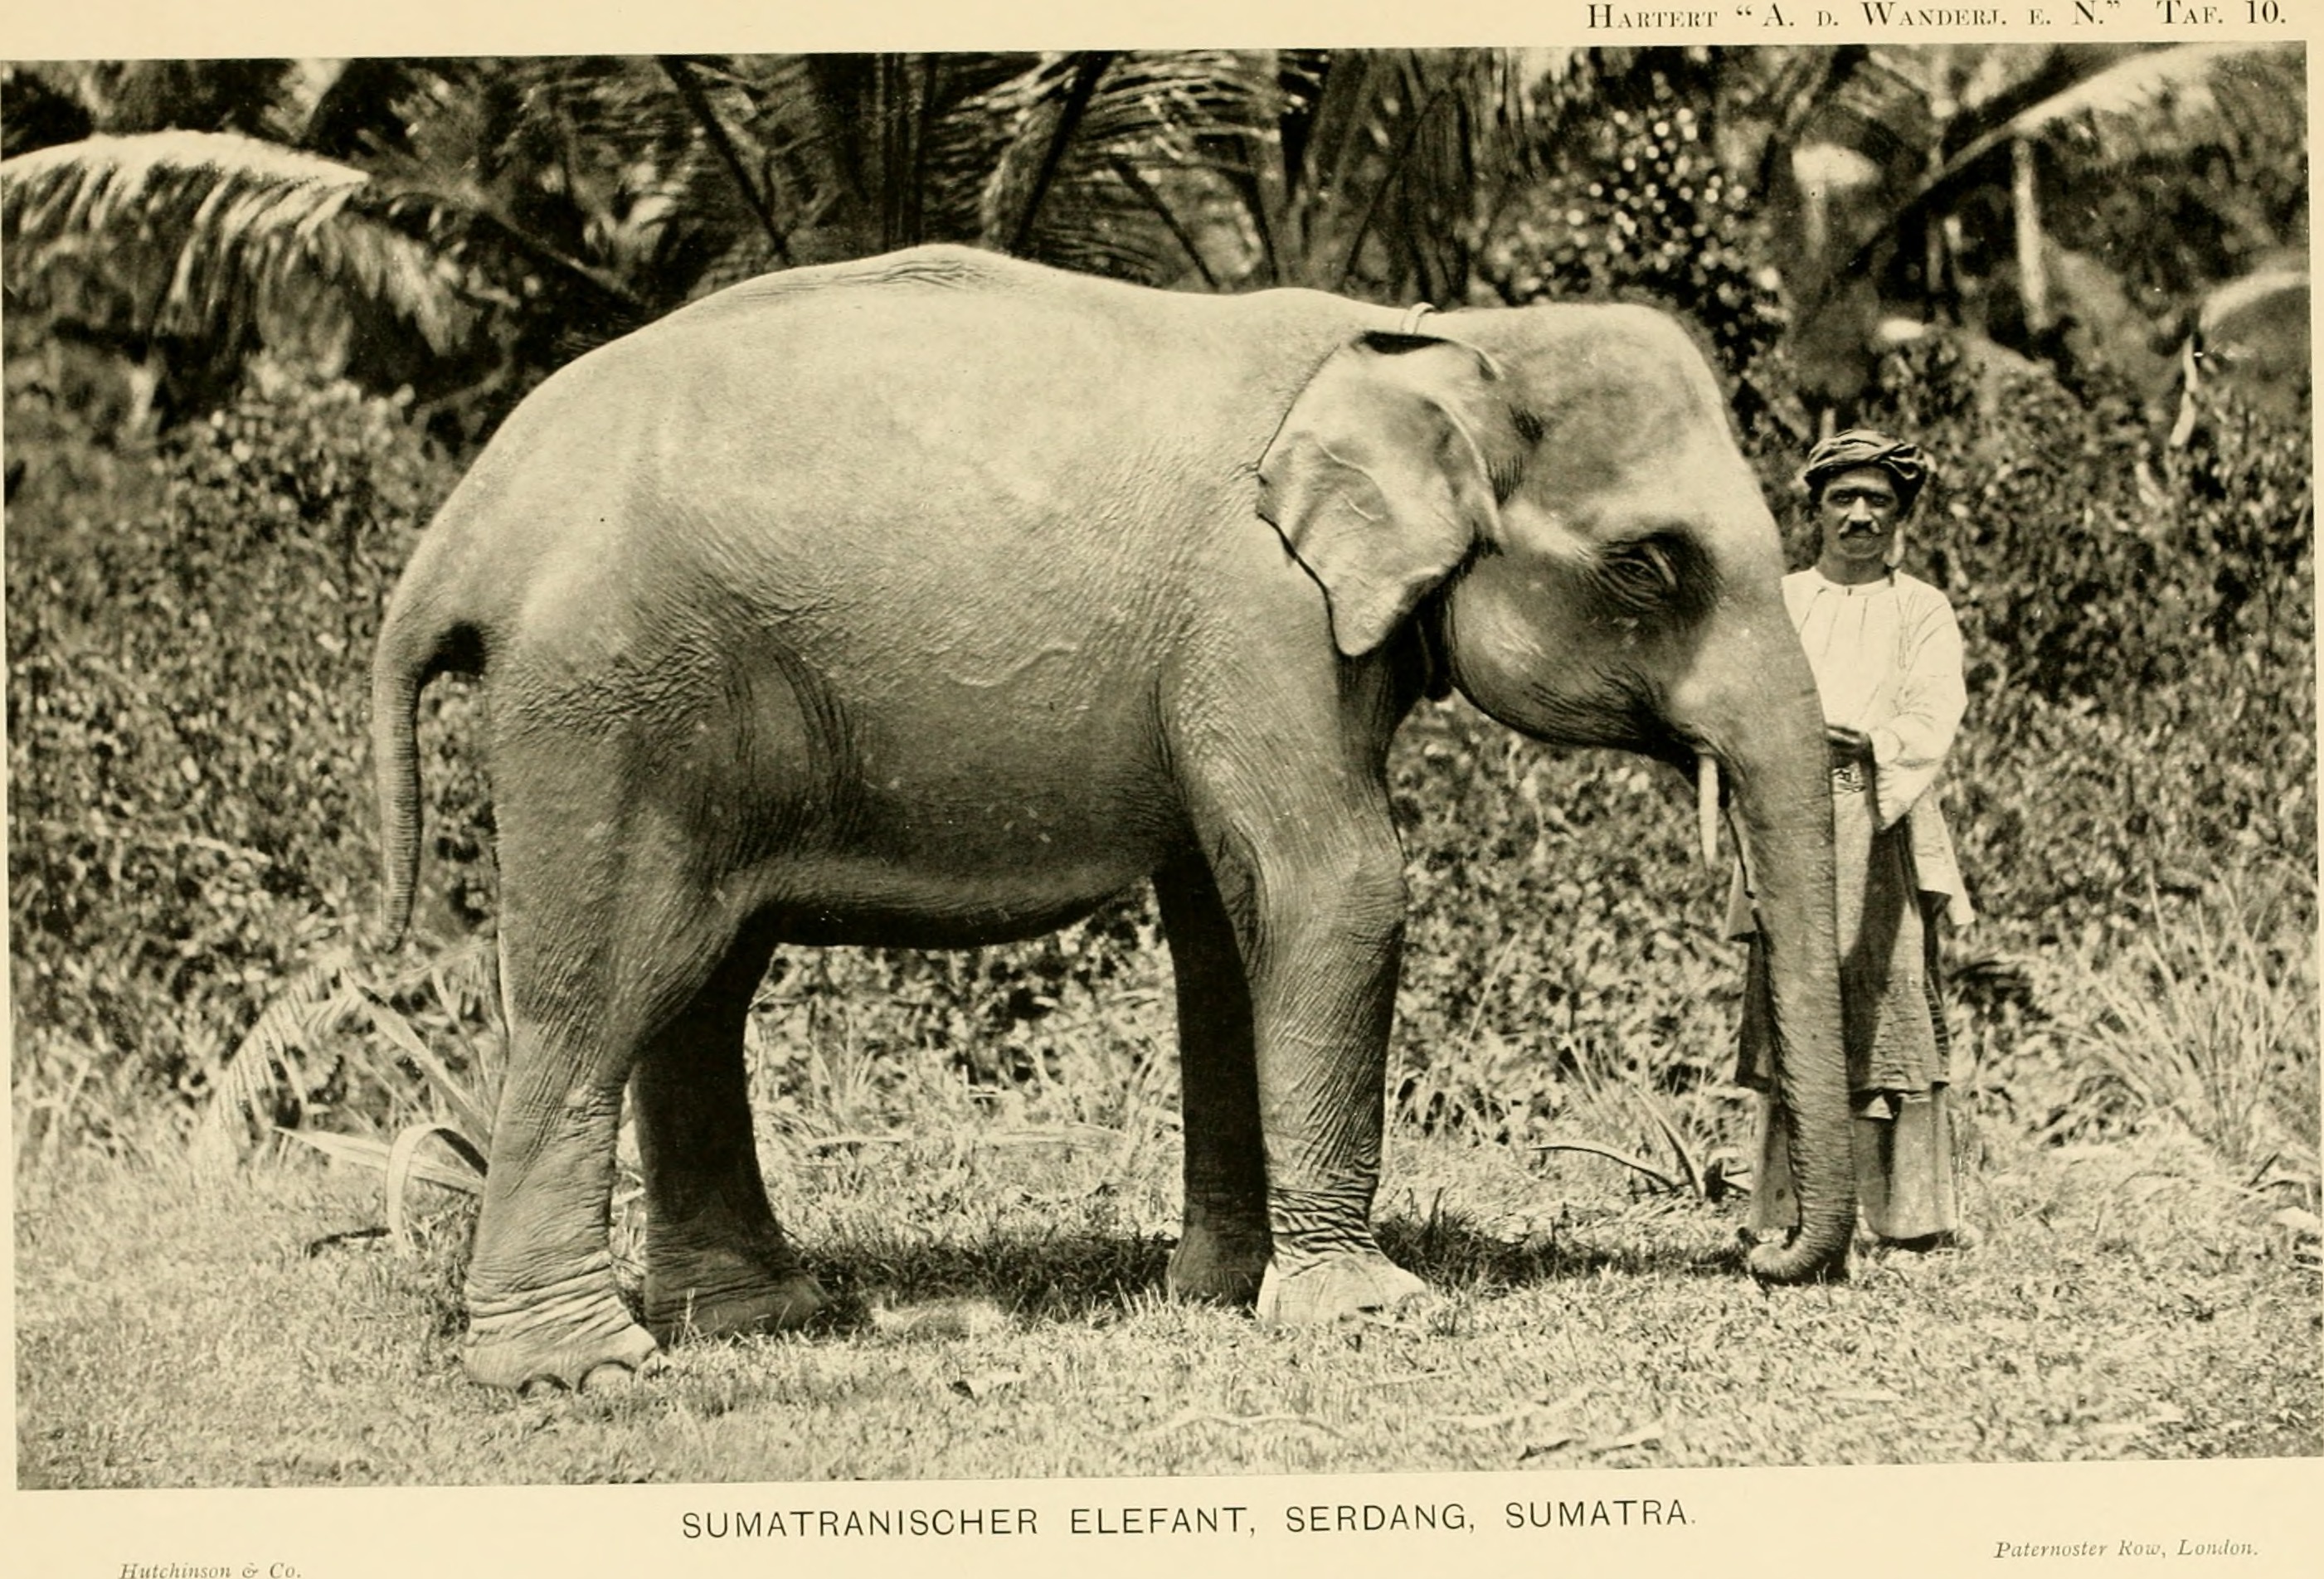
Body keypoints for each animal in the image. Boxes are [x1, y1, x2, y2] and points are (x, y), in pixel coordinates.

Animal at [372, 244, 1851, 1392]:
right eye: (1650, 567)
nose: (1758, 1252)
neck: (1437, 332)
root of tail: (468, 526)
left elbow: (1224, 923)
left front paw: (1224, 1288)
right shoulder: (1257, 613)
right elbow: (1339, 886)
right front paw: (1365, 1312)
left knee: (699, 991)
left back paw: (756, 1319)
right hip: (607, 703)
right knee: (606, 985)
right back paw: (577, 1370)